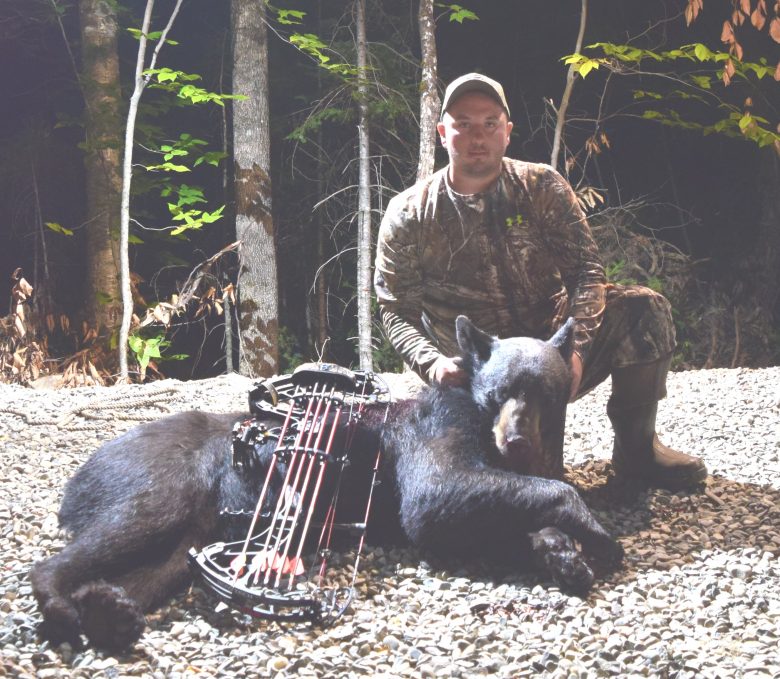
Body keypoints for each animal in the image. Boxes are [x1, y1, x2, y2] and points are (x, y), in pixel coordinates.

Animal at [30, 316, 620, 652]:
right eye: (499, 392)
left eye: (546, 393)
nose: (516, 442)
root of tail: (78, 474)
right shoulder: (434, 438)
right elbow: (441, 499)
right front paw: (595, 532)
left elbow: (514, 514)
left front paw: (559, 551)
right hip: (161, 481)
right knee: (104, 537)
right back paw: (63, 602)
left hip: (193, 536)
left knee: (155, 569)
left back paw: (107, 612)